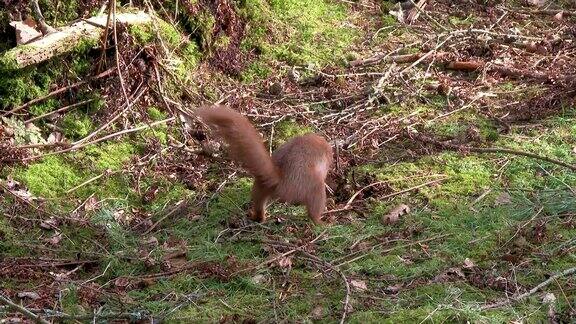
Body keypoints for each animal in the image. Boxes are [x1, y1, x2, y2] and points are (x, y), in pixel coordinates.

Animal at [197, 105, 332, 224]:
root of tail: (280, 178)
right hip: (315, 187)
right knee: (313, 211)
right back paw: (323, 223)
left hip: (260, 187)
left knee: (258, 204)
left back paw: (257, 217)